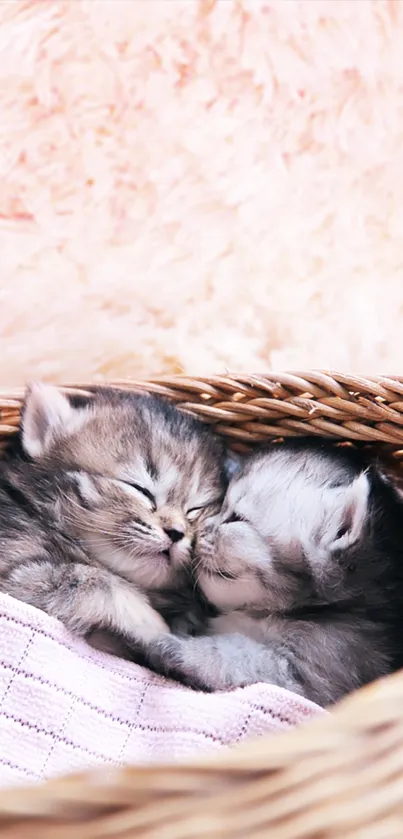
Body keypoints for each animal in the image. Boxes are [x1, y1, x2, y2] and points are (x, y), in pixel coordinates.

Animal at [0, 384, 226, 652]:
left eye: (195, 509)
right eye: (139, 488)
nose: (177, 532)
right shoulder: (15, 575)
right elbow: (88, 577)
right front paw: (152, 624)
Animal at [145, 440, 403, 708]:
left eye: (236, 518)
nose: (198, 530)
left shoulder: (311, 674)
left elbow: (239, 655)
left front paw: (180, 649)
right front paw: (188, 620)